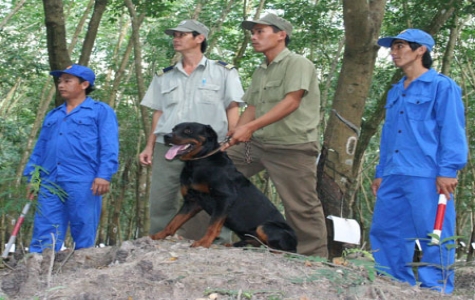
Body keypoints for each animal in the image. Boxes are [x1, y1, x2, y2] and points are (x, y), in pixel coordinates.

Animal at [151, 120, 298, 252]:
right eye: (173, 129)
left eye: (188, 130)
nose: (166, 136)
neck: (199, 162)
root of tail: (296, 242)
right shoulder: (192, 201)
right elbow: (174, 221)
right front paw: (159, 235)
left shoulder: (225, 198)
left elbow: (213, 225)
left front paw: (204, 242)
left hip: (265, 227)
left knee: (282, 249)